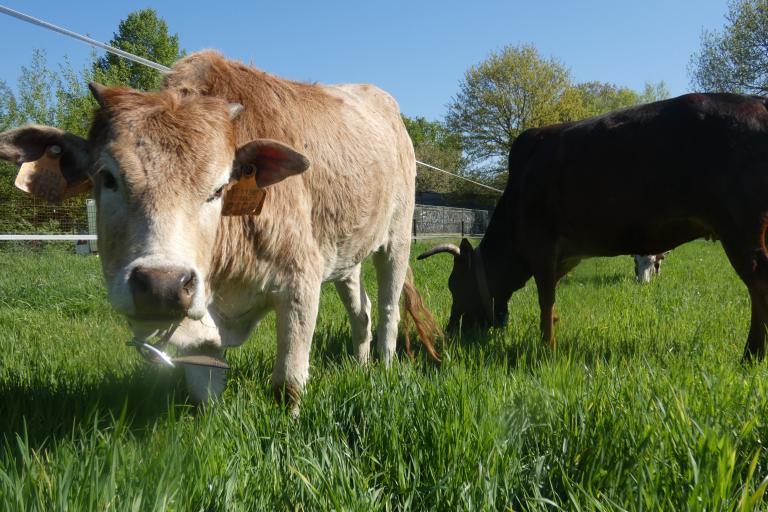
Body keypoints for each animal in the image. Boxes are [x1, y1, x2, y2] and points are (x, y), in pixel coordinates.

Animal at [0, 51, 438, 404]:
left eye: (219, 187)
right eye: (107, 178)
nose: (161, 284)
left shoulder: (300, 284)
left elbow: (288, 384)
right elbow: (203, 392)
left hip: (397, 239)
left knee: (388, 310)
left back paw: (383, 366)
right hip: (345, 256)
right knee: (361, 311)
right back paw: (360, 365)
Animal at [416, 94, 768, 362]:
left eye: (455, 284)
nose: (450, 332)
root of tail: (757, 103)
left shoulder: (541, 246)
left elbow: (545, 298)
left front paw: (547, 347)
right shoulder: (565, 255)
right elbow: (552, 299)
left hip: (741, 229)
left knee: (759, 283)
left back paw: (751, 354)